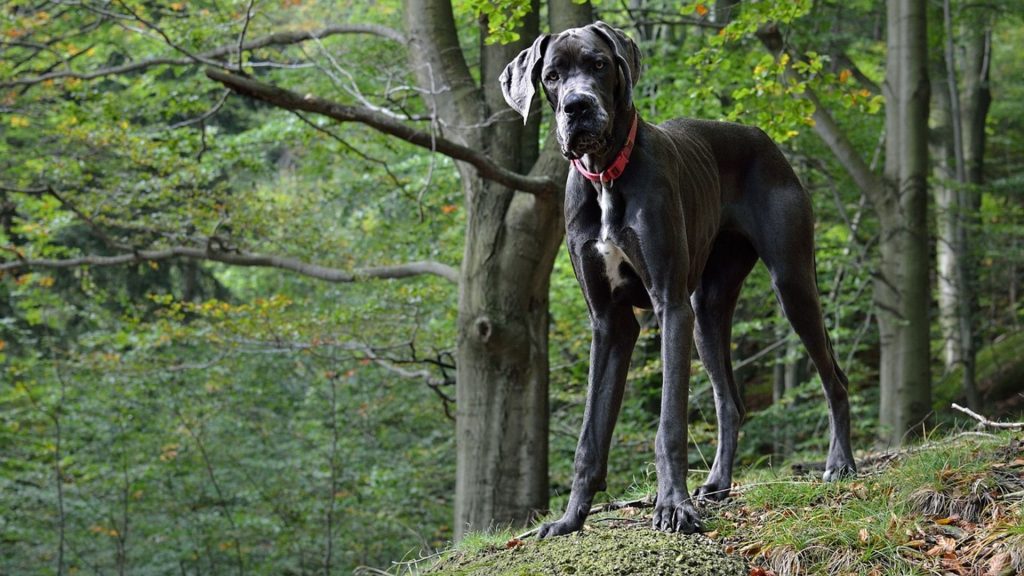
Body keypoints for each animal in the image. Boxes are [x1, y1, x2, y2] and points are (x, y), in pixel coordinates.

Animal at [499, 20, 851, 537]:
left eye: (598, 64)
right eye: (551, 76)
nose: (577, 106)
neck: (606, 177)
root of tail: (762, 137)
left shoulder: (669, 305)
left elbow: (669, 425)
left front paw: (672, 506)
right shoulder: (610, 323)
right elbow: (589, 436)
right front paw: (569, 519)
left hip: (790, 284)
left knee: (834, 379)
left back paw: (840, 464)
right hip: (706, 313)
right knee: (730, 401)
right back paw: (719, 483)